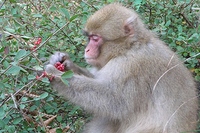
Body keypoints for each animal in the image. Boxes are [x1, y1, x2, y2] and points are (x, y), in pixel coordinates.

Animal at [45, 3, 198, 133]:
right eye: (89, 37)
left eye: (95, 38)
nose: (87, 49)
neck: (129, 46)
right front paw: (65, 63)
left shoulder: (130, 67)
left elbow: (113, 102)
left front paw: (56, 75)